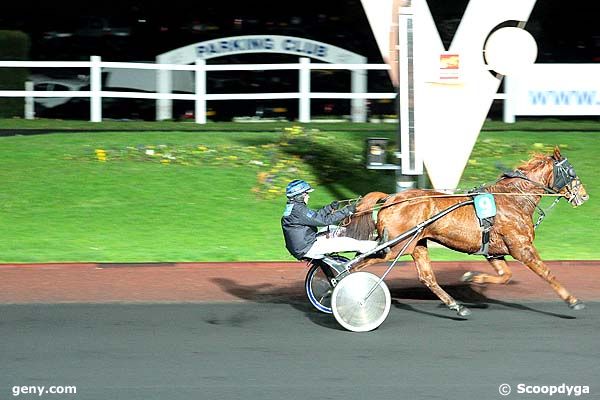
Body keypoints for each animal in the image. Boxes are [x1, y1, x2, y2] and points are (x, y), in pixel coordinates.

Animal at [344, 147, 588, 316]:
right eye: (571, 172)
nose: (584, 196)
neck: (514, 199)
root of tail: (391, 198)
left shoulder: (494, 252)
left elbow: (505, 275)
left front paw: (473, 277)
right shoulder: (522, 248)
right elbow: (547, 273)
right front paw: (573, 300)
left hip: (416, 244)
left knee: (427, 277)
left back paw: (456, 306)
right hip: (394, 248)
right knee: (357, 263)